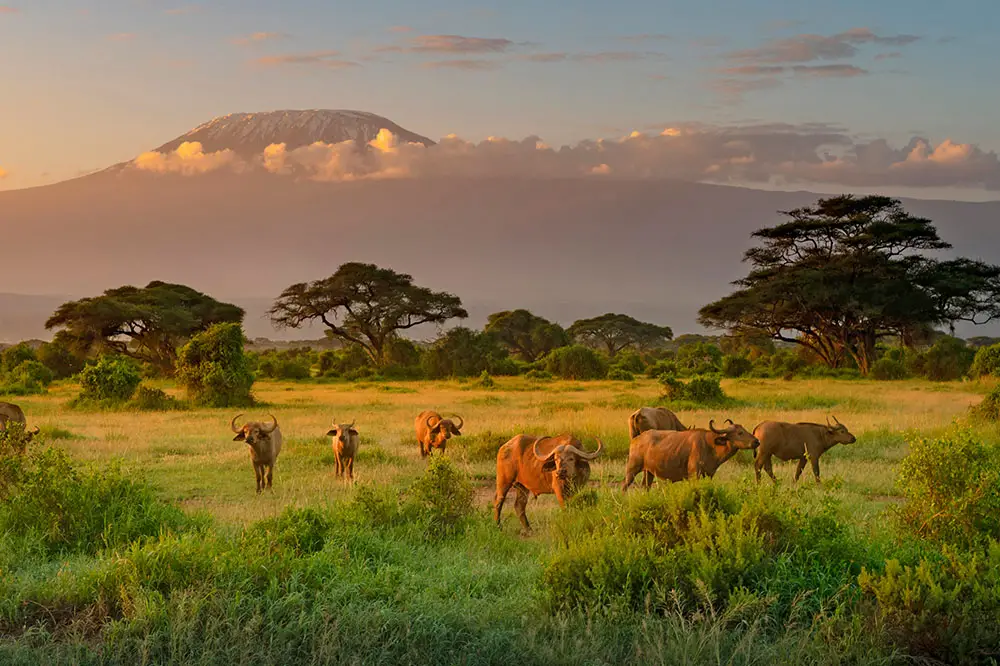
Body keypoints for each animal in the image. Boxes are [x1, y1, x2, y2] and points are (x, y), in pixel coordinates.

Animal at [620, 418, 752, 490]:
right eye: (740, 433)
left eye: (744, 430)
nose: (755, 441)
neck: (710, 445)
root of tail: (636, 439)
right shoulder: (694, 475)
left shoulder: (709, 475)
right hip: (632, 469)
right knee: (624, 485)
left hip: (649, 472)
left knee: (645, 487)